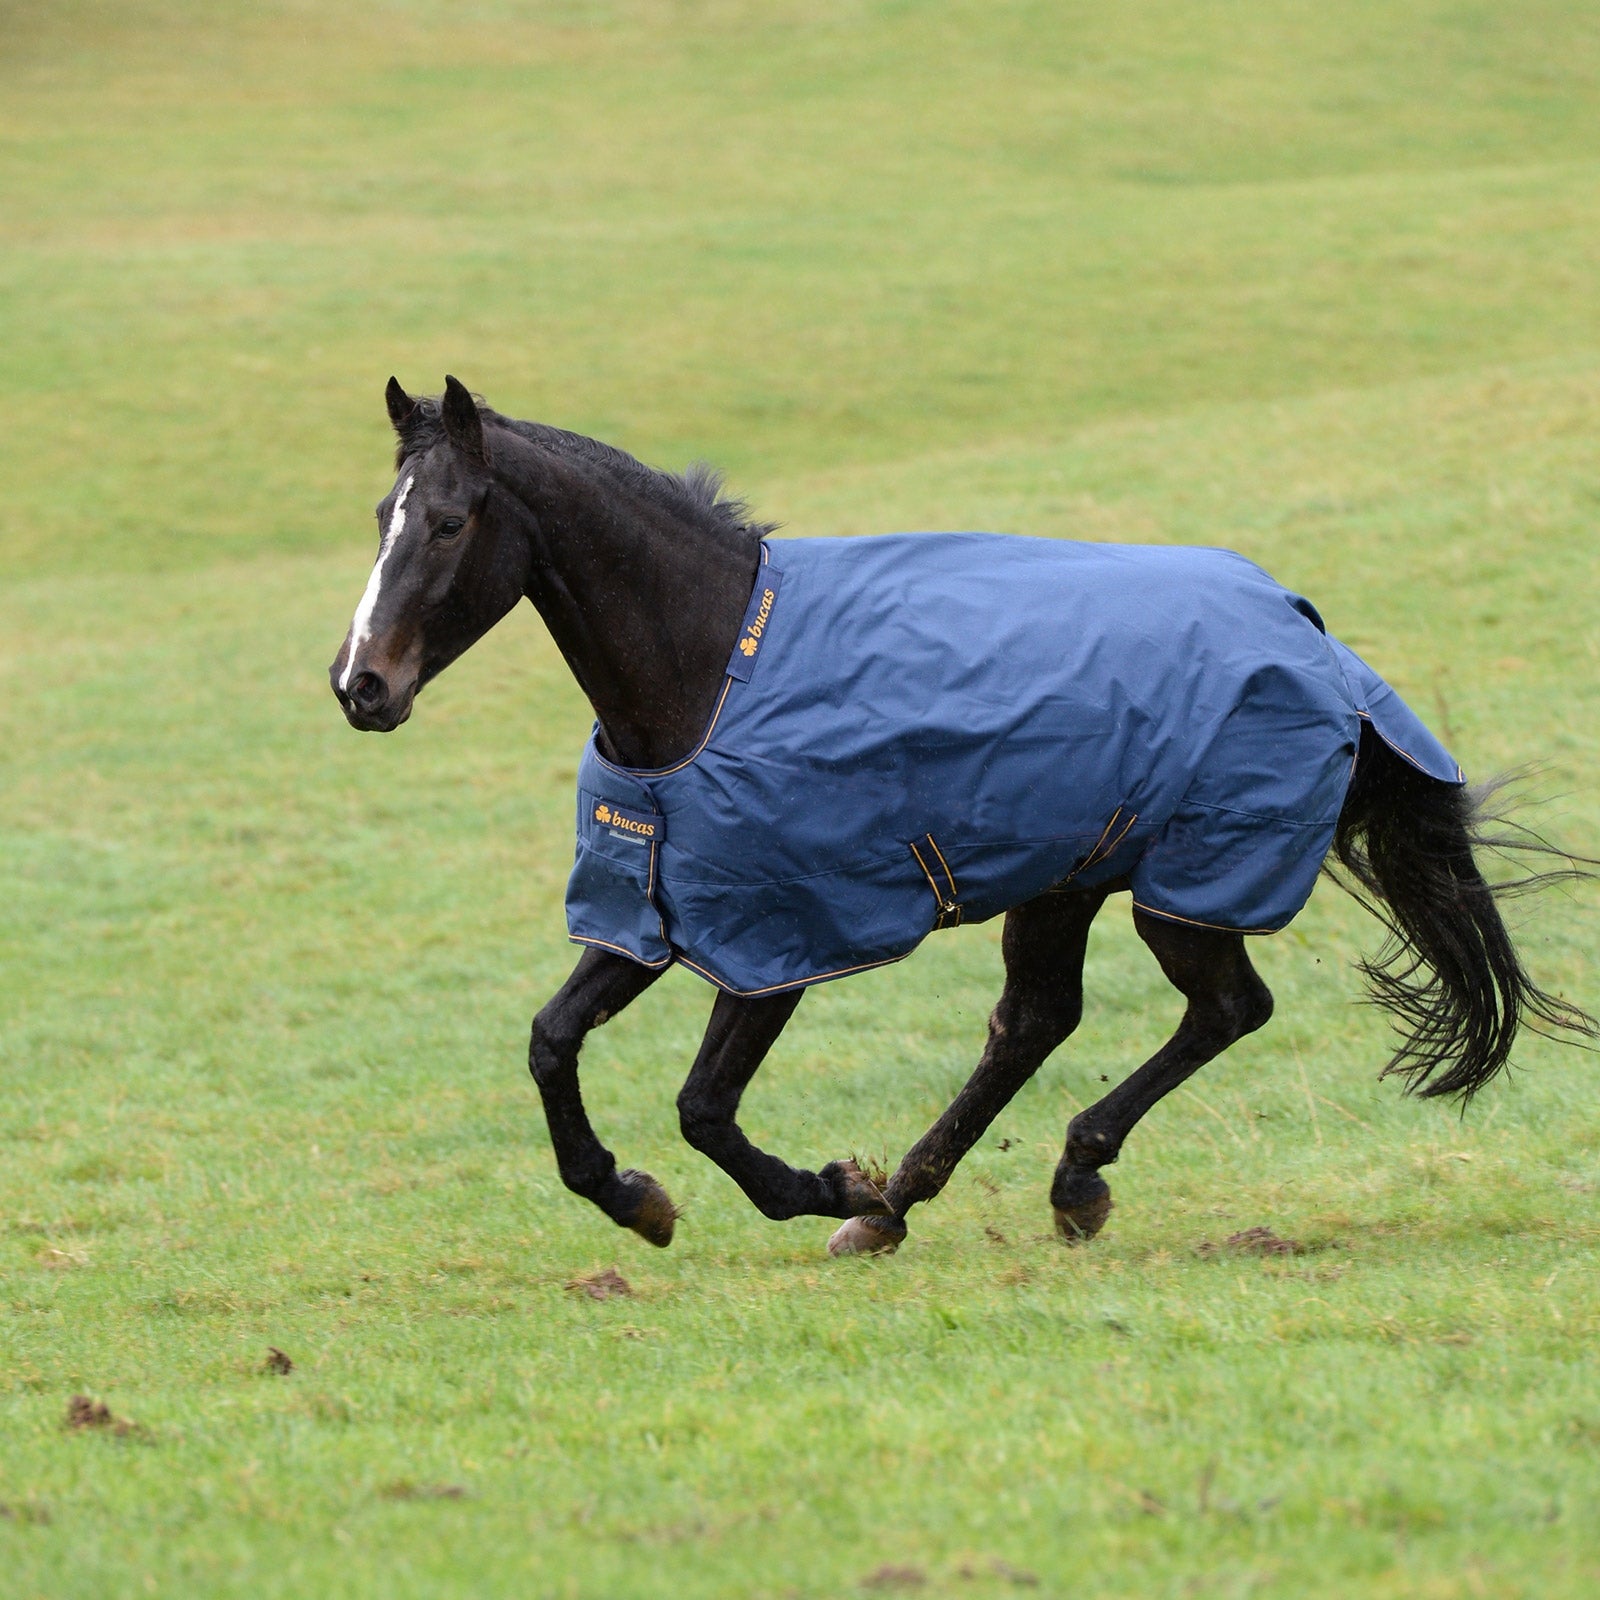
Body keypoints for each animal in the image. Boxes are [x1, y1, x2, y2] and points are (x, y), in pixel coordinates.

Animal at [330, 375, 1594, 1256]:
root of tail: (1309, 629)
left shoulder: (778, 938)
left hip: (1176, 887)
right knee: (1034, 1021)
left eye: (449, 523)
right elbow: (551, 1041)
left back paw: (1056, 1180)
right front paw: (636, 1198)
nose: (360, 687)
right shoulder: (657, 910)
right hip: (1068, 876)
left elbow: (701, 1107)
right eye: (381, 513)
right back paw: (907, 1200)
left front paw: (814, 1186)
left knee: (1224, 1007)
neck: (711, 669)